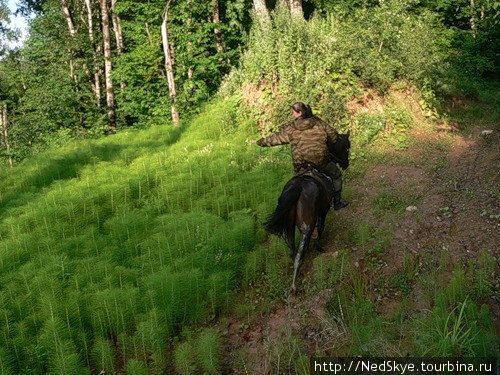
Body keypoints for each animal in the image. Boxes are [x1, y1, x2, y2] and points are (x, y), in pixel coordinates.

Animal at [264, 132, 350, 294]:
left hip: (290, 227)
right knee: (298, 254)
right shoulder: (323, 212)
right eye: (347, 148)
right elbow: (320, 229)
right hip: (305, 227)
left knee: (292, 252)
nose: (345, 164)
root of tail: (299, 185)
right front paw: (319, 248)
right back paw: (294, 286)